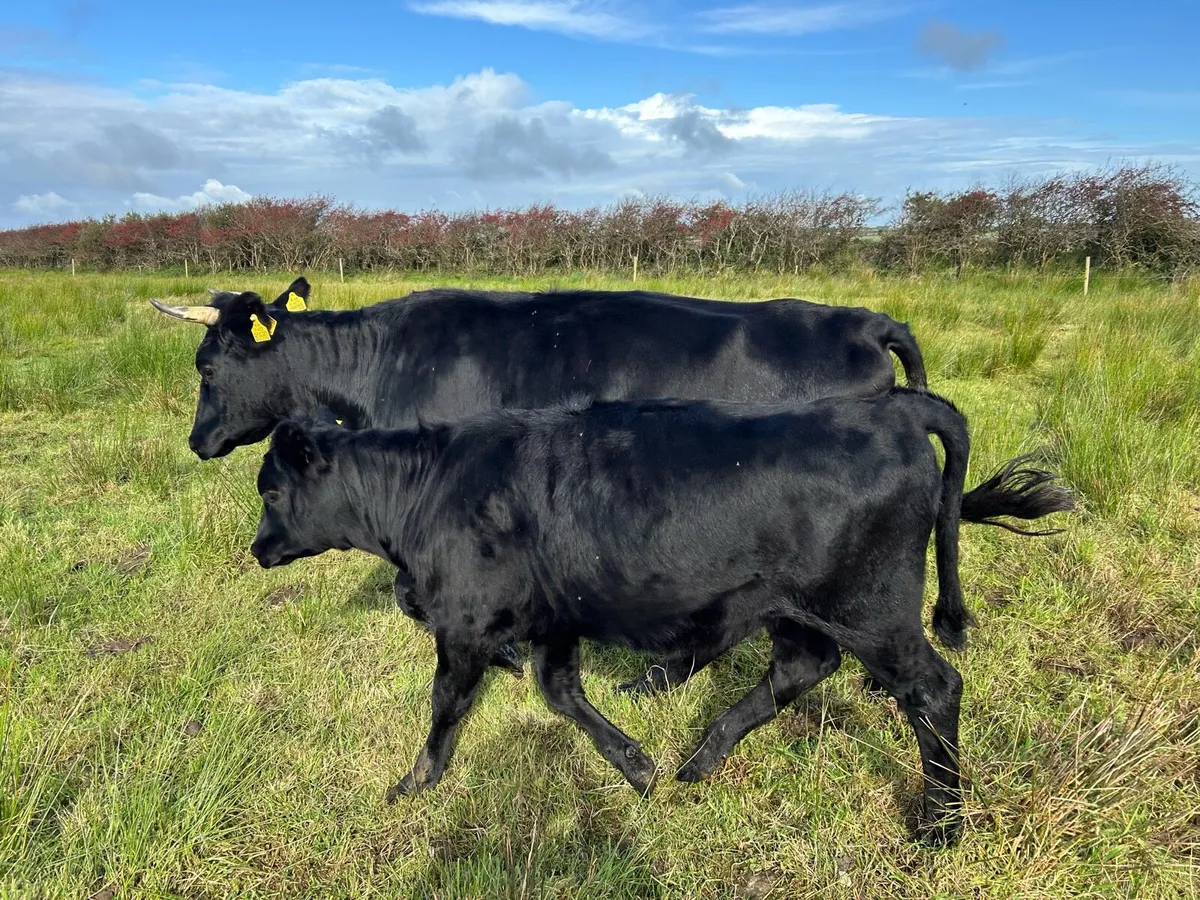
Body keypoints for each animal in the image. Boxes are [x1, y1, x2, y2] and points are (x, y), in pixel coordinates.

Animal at [247, 389, 1074, 845]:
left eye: (272, 490)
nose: (256, 549)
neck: (427, 489)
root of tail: (889, 405)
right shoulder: (555, 617)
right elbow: (560, 693)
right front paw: (636, 765)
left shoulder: (465, 623)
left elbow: (445, 708)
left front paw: (414, 785)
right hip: (794, 606)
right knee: (800, 667)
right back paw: (698, 759)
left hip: (872, 608)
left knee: (932, 691)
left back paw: (941, 825)